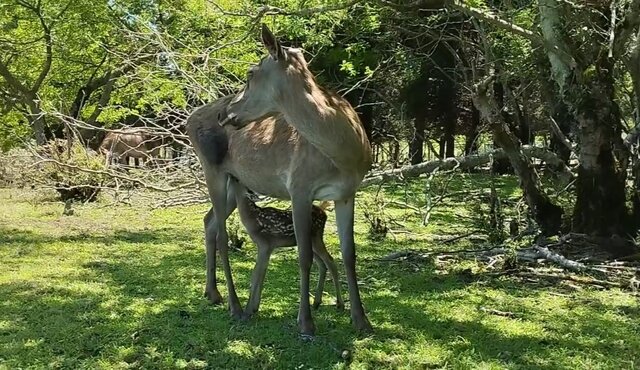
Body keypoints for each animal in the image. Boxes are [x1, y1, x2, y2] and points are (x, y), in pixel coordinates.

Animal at [185, 24, 372, 334]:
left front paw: (361, 320)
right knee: (222, 234)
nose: (225, 113)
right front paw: (305, 323)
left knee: (208, 220)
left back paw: (212, 293)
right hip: (211, 168)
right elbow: (304, 255)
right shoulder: (299, 187)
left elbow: (350, 253)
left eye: (250, 73)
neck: (344, 154)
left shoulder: (347, 192)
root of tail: (188, 120)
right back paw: (235, 305)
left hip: (233, 180)